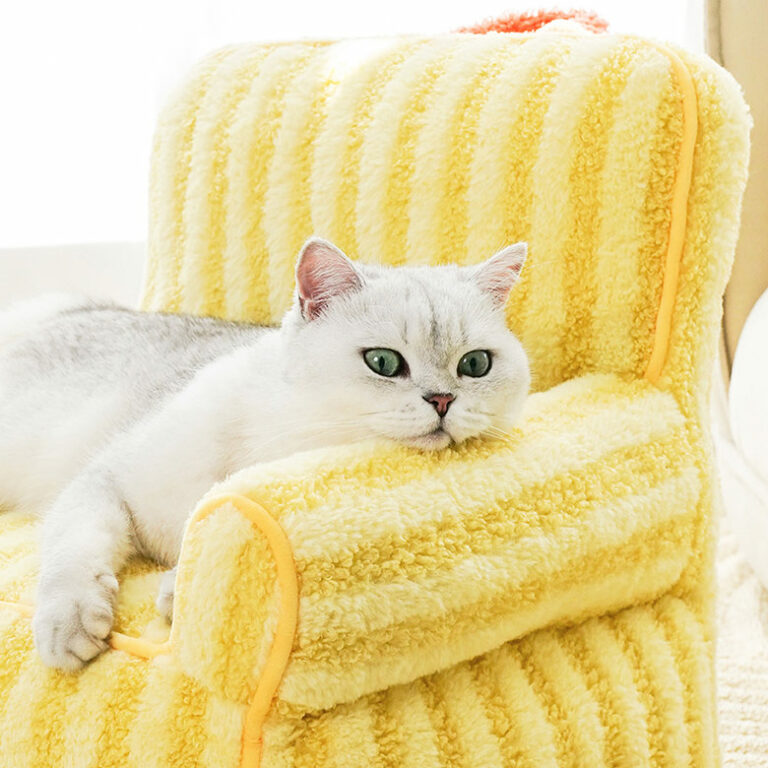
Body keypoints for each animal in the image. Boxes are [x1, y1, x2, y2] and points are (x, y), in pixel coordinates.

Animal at [0, 237, 528, 668]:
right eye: (383, 362)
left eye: (475, 365)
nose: (442, 401)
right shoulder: (106, 480)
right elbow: (72, 547)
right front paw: (66, 624)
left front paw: (176, 589)